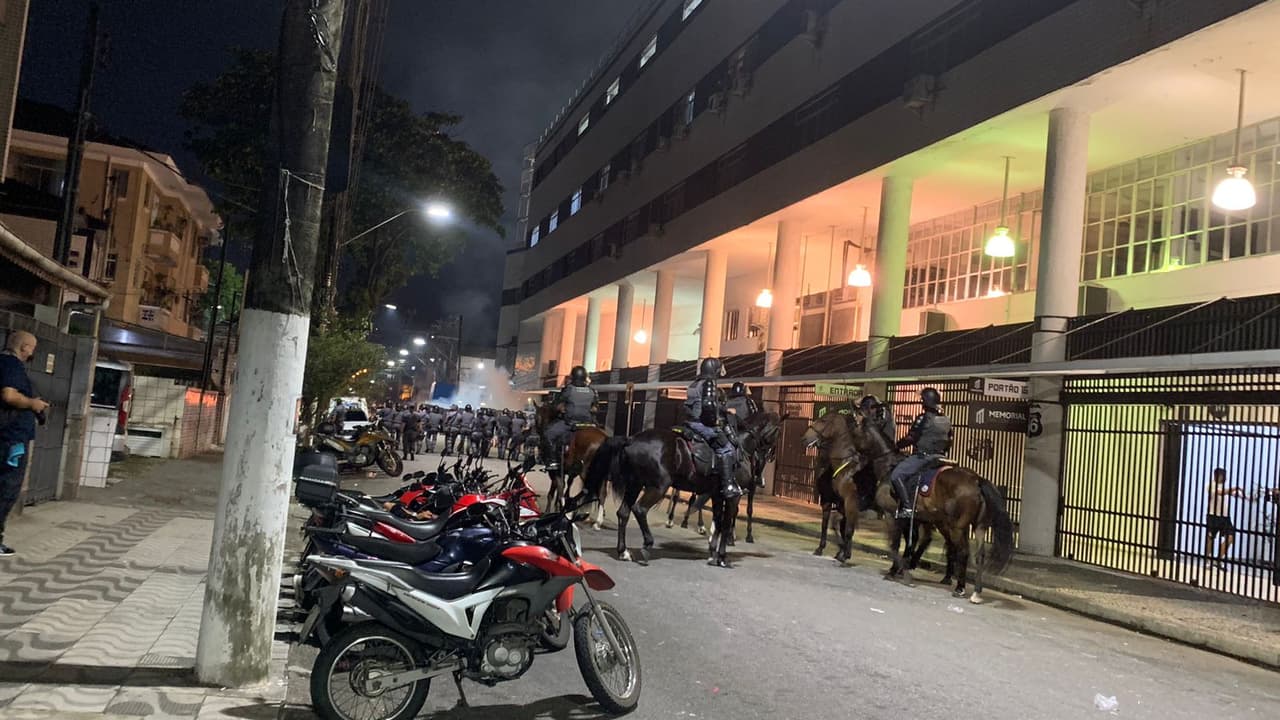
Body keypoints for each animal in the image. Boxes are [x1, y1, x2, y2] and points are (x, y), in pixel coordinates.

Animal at [844, 404, 1013, 599]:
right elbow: (910, 543)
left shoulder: (892, 515)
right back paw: (974, 591)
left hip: (956, 526)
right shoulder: (912, 519)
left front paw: (896, 571)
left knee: (962, 552)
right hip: (977, 527)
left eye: (855, 431)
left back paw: (959, 587)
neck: (888, 465)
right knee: (978, 555)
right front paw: (903, 567)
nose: (850, 454)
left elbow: (894, 544)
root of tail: (977, 480)